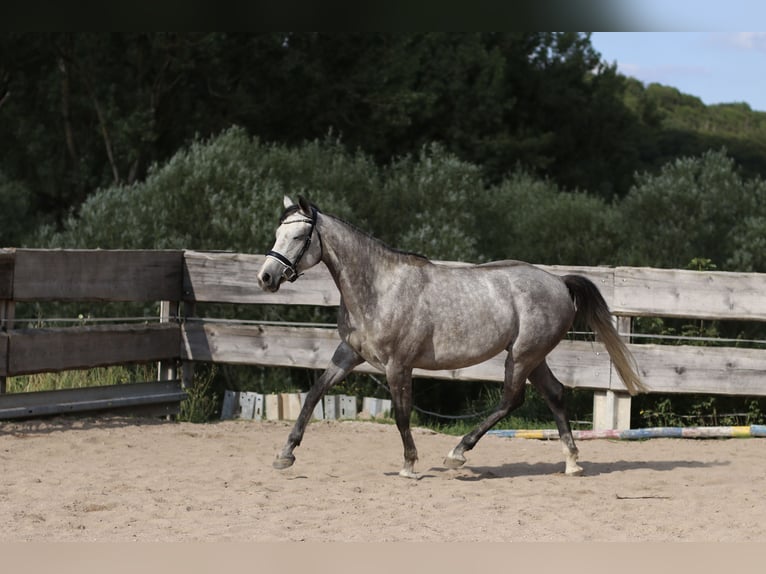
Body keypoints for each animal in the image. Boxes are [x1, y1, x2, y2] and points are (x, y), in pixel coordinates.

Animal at [258, 196, 648, 480]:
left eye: (298, 237)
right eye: (277, 233)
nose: (266, 277)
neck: (379, 288)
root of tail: (559, 282)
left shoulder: (398, 365)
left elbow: (402, 414)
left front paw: (409, 465)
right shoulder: (349, 354)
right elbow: (314, 394)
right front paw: (284, 455)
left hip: (521, 356)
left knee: (511, 400)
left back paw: (458, 454)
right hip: (534, 357)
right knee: (554, 394)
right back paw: (571, 462)